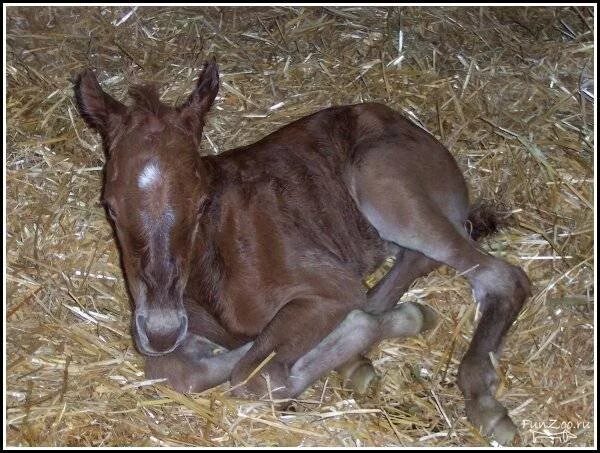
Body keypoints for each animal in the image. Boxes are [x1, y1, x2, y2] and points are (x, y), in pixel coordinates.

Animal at [75, 60, 528, 442]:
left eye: (203, 202)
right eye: (110, 206)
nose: (161, 331)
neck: (208, 264)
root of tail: (422, 134)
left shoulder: (328, 287)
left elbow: (255, 375)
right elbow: (175, 372)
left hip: (383, 184)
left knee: (500, 276)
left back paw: (484, 403)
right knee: (416, 262)